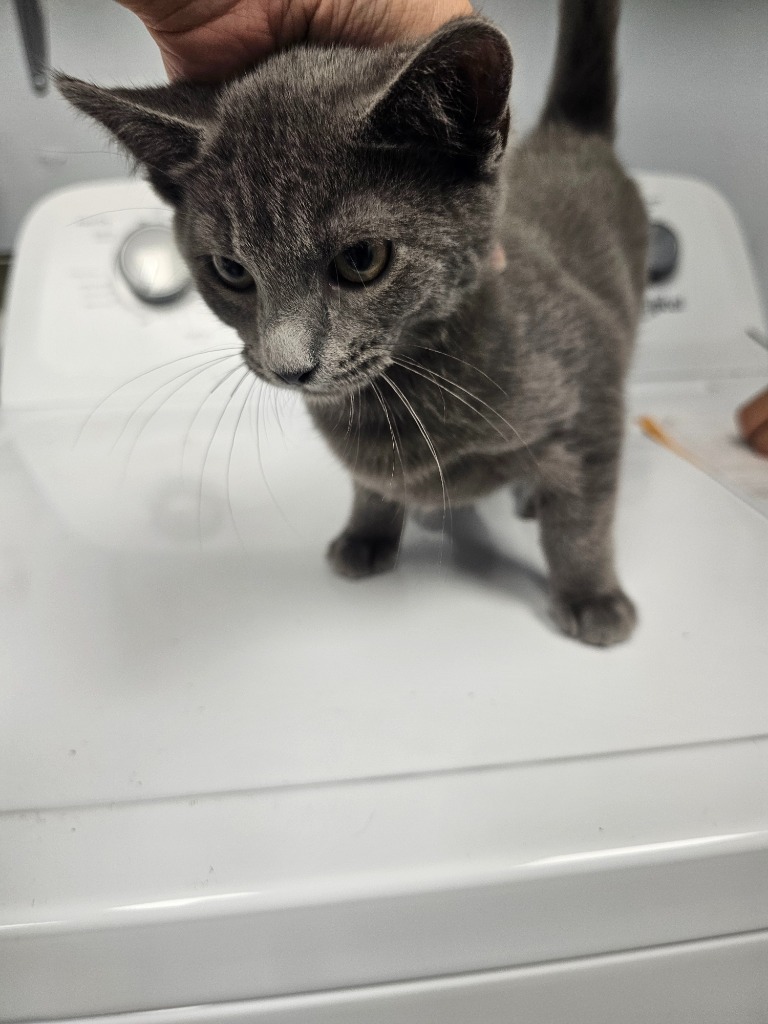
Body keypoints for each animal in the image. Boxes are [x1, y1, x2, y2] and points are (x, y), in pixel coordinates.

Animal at [58, 0, 651, 638]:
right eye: (231, 270)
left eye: (362, 259)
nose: (289, 366)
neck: (397, 398)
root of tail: (571, 132)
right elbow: (370, 486)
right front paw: (367, 535)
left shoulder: (592, 390)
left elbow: (583, 519)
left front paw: (591, 596)